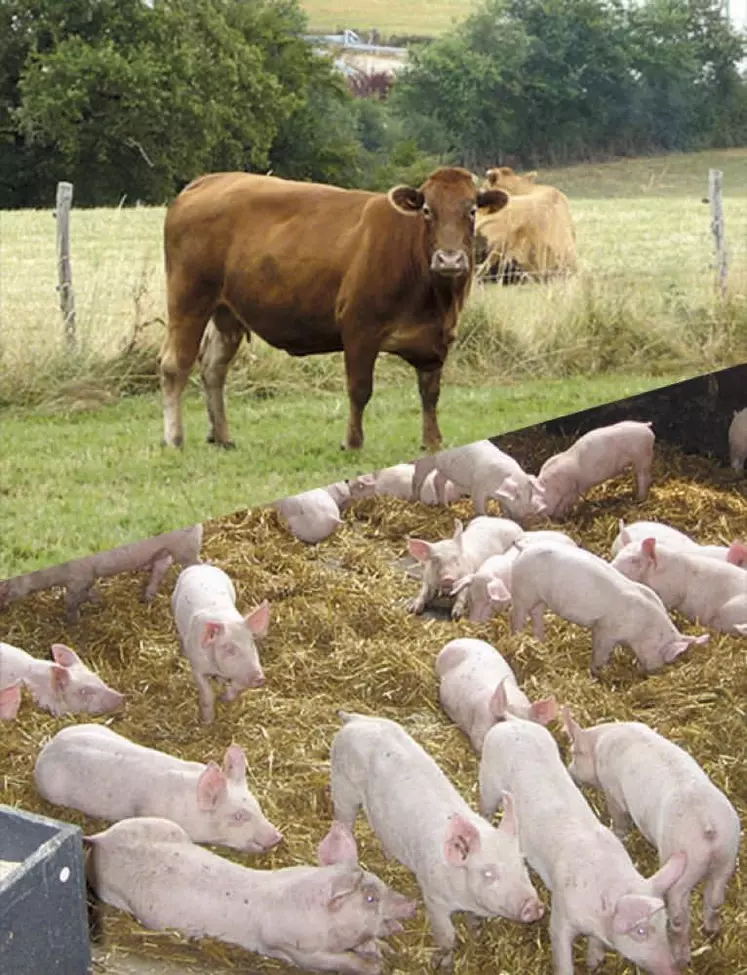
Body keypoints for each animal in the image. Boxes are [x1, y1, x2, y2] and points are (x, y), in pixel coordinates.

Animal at [158, 168, 508, 454]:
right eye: (426, 210)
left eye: (472, 210)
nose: (449, 260)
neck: (435, 299)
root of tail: (208, 181)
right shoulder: (359, 328)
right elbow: (359, 389)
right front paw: (353, 442)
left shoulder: (436, 340)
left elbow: (430, 393)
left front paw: (432, 441)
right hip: (188, 299)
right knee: (175, 365)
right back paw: (174, 438)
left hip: (227, 311)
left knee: (213, 367)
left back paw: (222, 436)